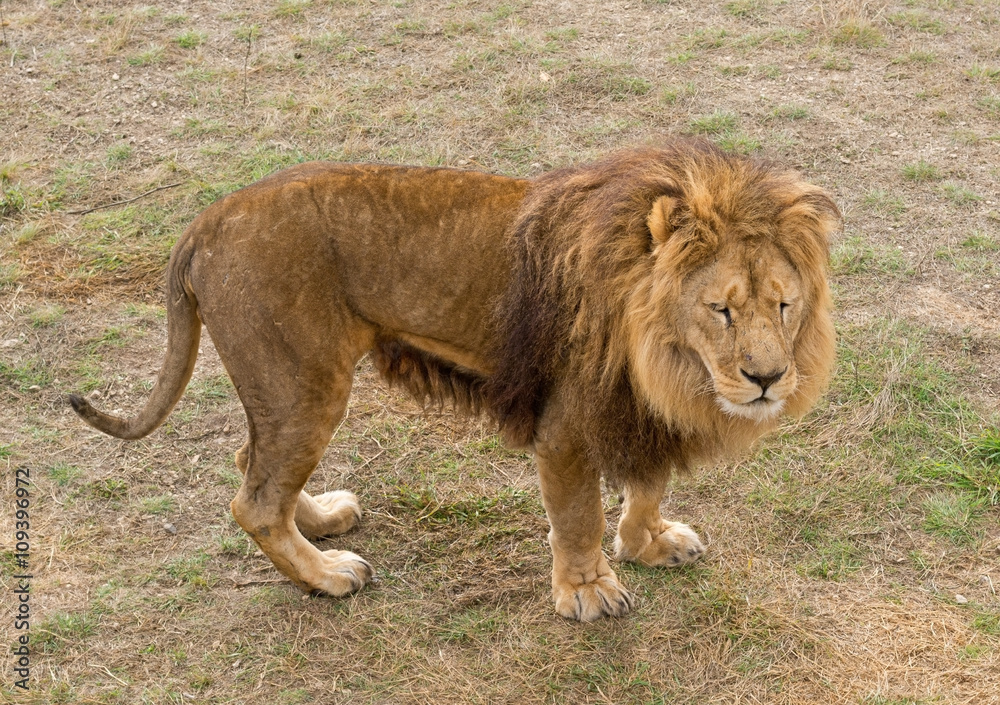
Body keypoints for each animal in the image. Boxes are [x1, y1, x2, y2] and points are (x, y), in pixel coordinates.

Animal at [70, 139, 838, 621]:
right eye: (721, 309)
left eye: (783, 304)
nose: (768, 378)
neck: (667, 359)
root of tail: (204, 221)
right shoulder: (567, 427)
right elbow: (579, 518)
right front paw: (588, 591)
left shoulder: (641, 413)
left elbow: (648, 486)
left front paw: (649, 542)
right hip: (304, 383)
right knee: (253, 501)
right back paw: (329, 574)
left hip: (285, 388)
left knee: (248, 463)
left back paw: (322, 517)